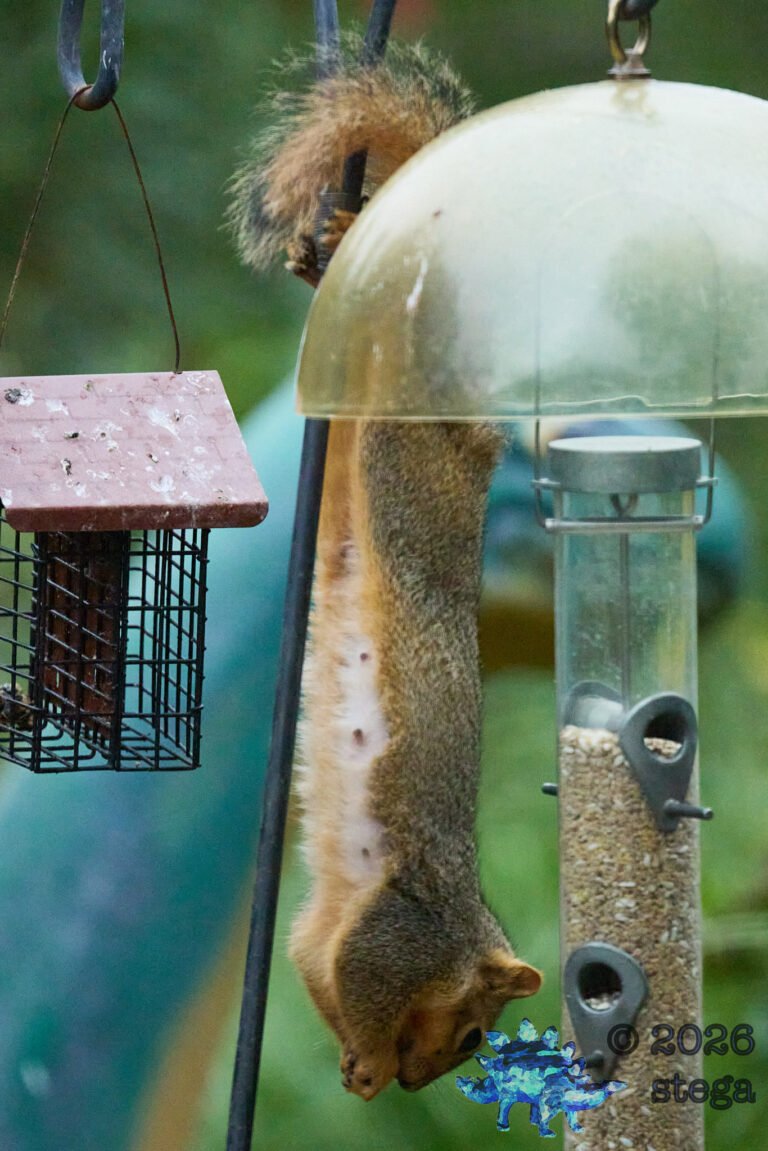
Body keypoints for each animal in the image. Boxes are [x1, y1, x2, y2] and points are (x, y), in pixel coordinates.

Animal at [229, 35, 542, 1101]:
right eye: (475, 1035)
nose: (417, 1083)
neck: (463, 930)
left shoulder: (328, 929)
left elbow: (315, 968)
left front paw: (350, 1060)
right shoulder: (398, 932)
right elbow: (362, 983)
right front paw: (366, 1063)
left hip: (353, 462)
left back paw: (330, 251)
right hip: (404, 464)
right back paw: (347, 235)